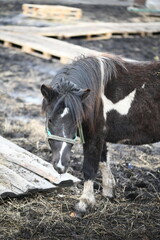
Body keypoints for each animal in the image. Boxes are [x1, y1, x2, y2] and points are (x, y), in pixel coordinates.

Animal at [41, 54, 160, 212]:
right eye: (50, 119)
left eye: (77, 120)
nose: (60, 165)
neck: (97, 98)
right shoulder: (100, 136)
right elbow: (103, 161)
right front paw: (109, 192)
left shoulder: (93, 137)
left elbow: (89, 167)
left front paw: (84, 203)